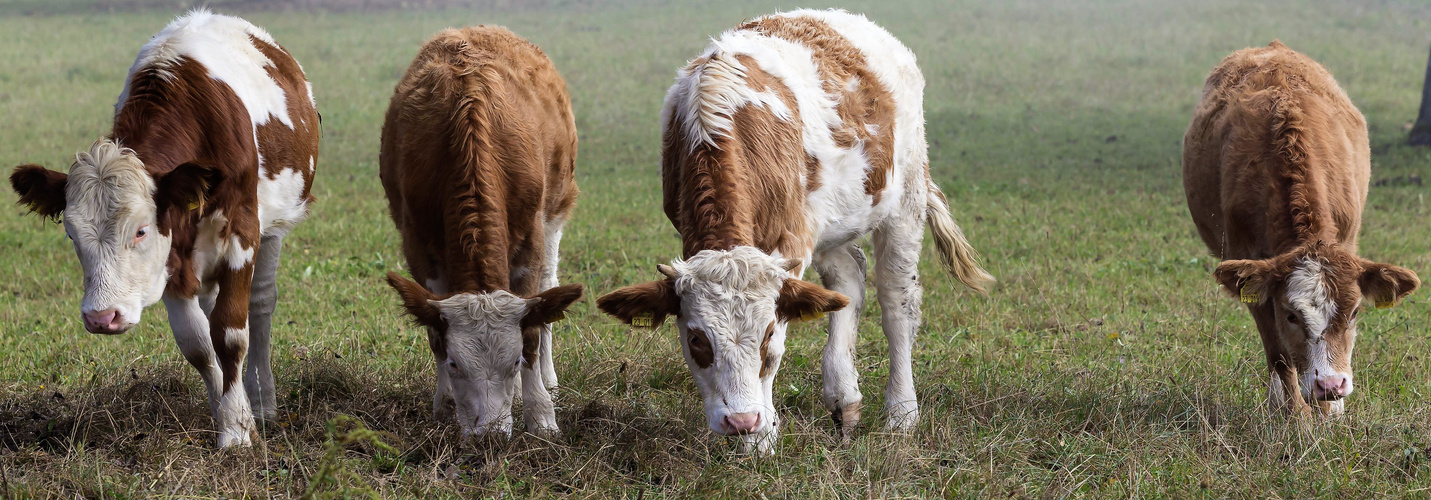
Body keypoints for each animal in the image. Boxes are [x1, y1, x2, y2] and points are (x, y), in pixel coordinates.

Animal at [6, 8, 320, 444]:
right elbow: (198, 344)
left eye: (141, 230)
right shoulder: (170, 258)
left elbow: (230, 333)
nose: (102, 317)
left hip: (274, 226)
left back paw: (263, 403)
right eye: (71, 234)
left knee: (259, 307)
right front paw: (227, 415)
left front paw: (239, 431)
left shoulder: (242, 234)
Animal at [380, 25, 586, 438]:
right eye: (456, 364)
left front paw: (541, 415)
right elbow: (433, 332)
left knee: (549, 288)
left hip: (555, 215)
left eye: (513, 362)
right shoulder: (418, 246)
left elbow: (533, 329)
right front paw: (444, 406)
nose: (488, 436)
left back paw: (547, 382)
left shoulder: (530, 240)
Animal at [595, 7, 995, 452]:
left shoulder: (791, 243)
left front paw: (761, 440)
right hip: (828, 219)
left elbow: (783, 343)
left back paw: (901, 413)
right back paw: (844, 396)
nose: (740, 420)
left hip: (905, 196)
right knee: (849, 277)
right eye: (697, 340)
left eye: (767, 333)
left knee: (897, 303)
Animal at [1184, 40, 1419, 415]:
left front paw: (1329, 412)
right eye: (1292, 315)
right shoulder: (1252, 274)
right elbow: (1280, 356)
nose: (1331, 385)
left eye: (1355, 312)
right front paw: (1295, 417)